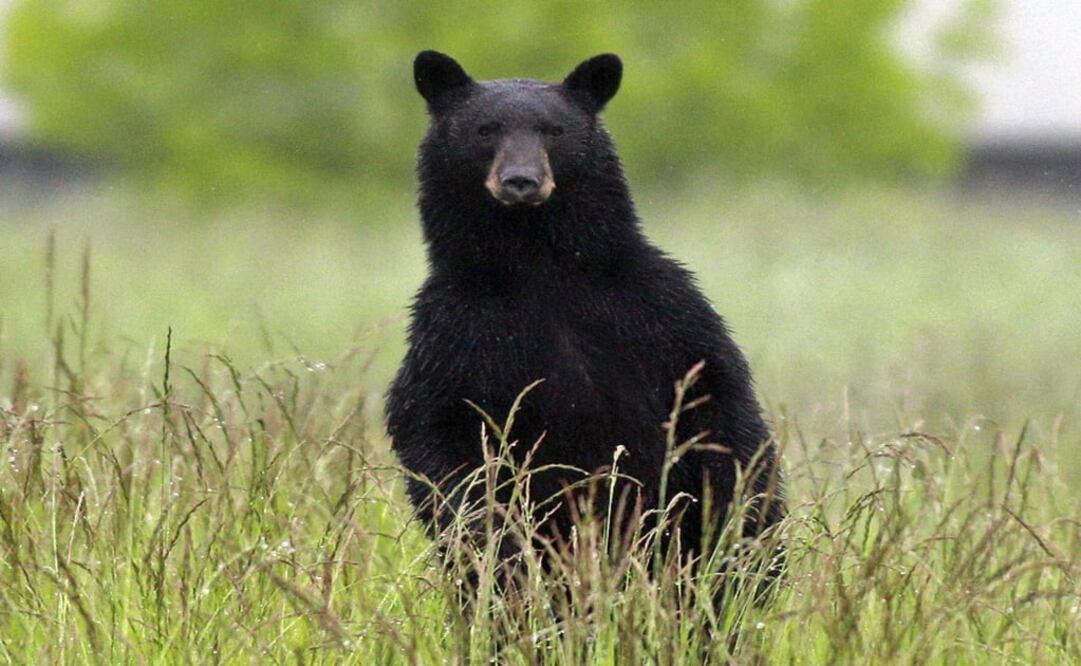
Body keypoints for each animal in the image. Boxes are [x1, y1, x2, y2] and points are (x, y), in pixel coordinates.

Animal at [386, 51, 784, 595]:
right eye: (485, 129)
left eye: (553, 130)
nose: (521, 181)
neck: (537, 264)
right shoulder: (454, 332)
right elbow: (438, 434)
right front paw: (494, 541)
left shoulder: (660, 310)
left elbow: (719, 405)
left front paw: (733, 528)